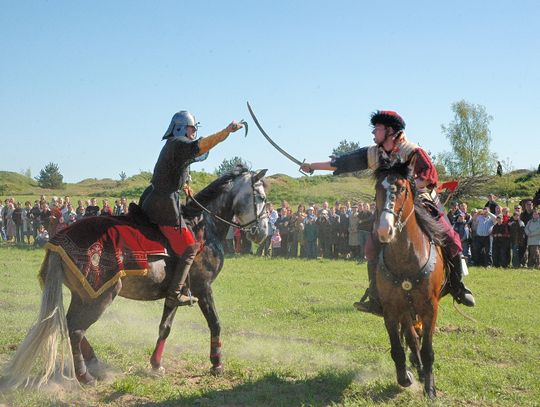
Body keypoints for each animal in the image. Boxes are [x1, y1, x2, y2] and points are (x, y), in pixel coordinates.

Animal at [0, 167, 270, 388]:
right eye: (261, 197)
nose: (262, 233)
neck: (205, 225)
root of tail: (57, 241)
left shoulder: (175, 292)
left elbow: (165, 327)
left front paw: (156, 364)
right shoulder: (203, 288)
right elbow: (215, 323)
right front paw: (216, 363)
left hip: (83, 294)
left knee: (70, 325)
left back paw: (96, 365)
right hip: (99, 295)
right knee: (76, 330)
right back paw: (85, 376)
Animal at [376, 161, 448, 400]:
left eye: (401, 189)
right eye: (378, 189)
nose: (384, 230)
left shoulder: (430, 308)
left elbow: (428, 350)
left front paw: (430, 389)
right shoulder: (391, 308)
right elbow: (398, 348)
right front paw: (404, 377)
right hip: (405, 309)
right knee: (411, 336)